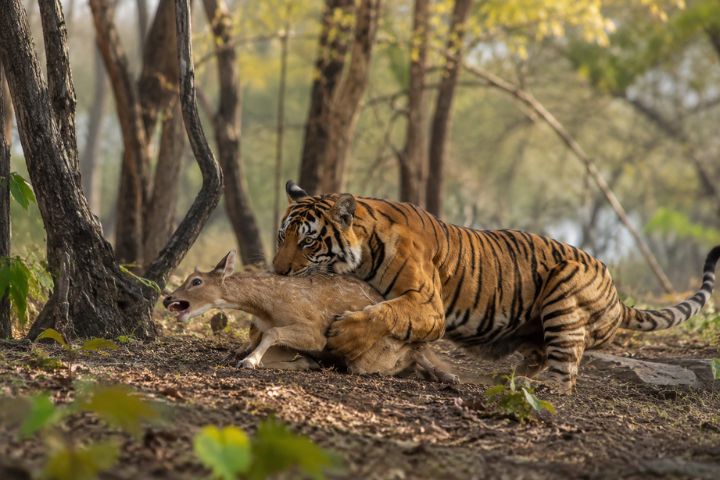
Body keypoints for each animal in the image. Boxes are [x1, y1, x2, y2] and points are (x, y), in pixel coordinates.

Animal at [273, 180, 720, 393]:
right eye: (282, 237)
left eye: (308, 241)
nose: (277, 272)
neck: (363, 248)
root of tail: (616, 294)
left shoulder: (429, 304)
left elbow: (385, 312)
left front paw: (345, 336)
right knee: (542, 354)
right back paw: (509, 377)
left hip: (565, 285)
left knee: (566, 374)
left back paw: (533, 385)